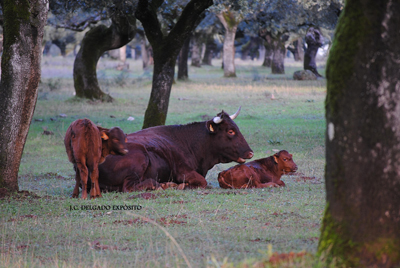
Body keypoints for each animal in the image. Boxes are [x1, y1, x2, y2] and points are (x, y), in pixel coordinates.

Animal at [97, 108, 253, 192]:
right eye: (230, 131)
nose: (250, 152)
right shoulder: (183, 171)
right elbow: (202, 182)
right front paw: (181, 186)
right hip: (140, 158)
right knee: (129, 187)